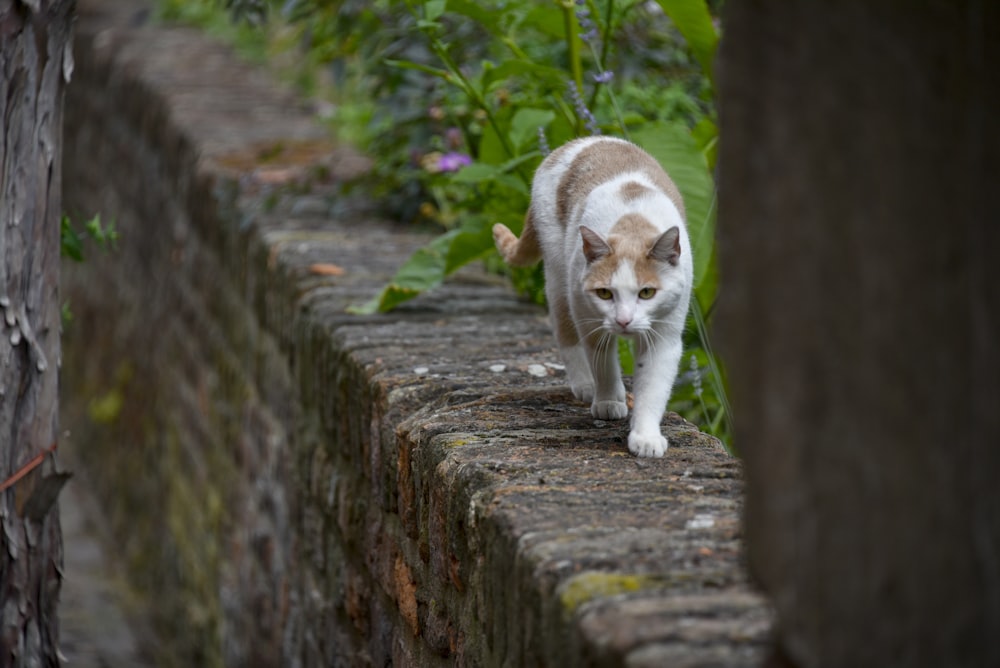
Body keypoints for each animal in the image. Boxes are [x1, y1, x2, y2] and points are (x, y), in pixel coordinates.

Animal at [494, 136, 696, 460]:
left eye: (647, 292)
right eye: (604, 293)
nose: (624, 320)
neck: (632, 221)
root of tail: (577, 142)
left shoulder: (664, 335)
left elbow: (652, 388)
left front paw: (646, 437)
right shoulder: (588, 318)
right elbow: (603, 363)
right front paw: (607, 401)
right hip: (559, 279)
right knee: (566, 334)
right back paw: (587, 386)